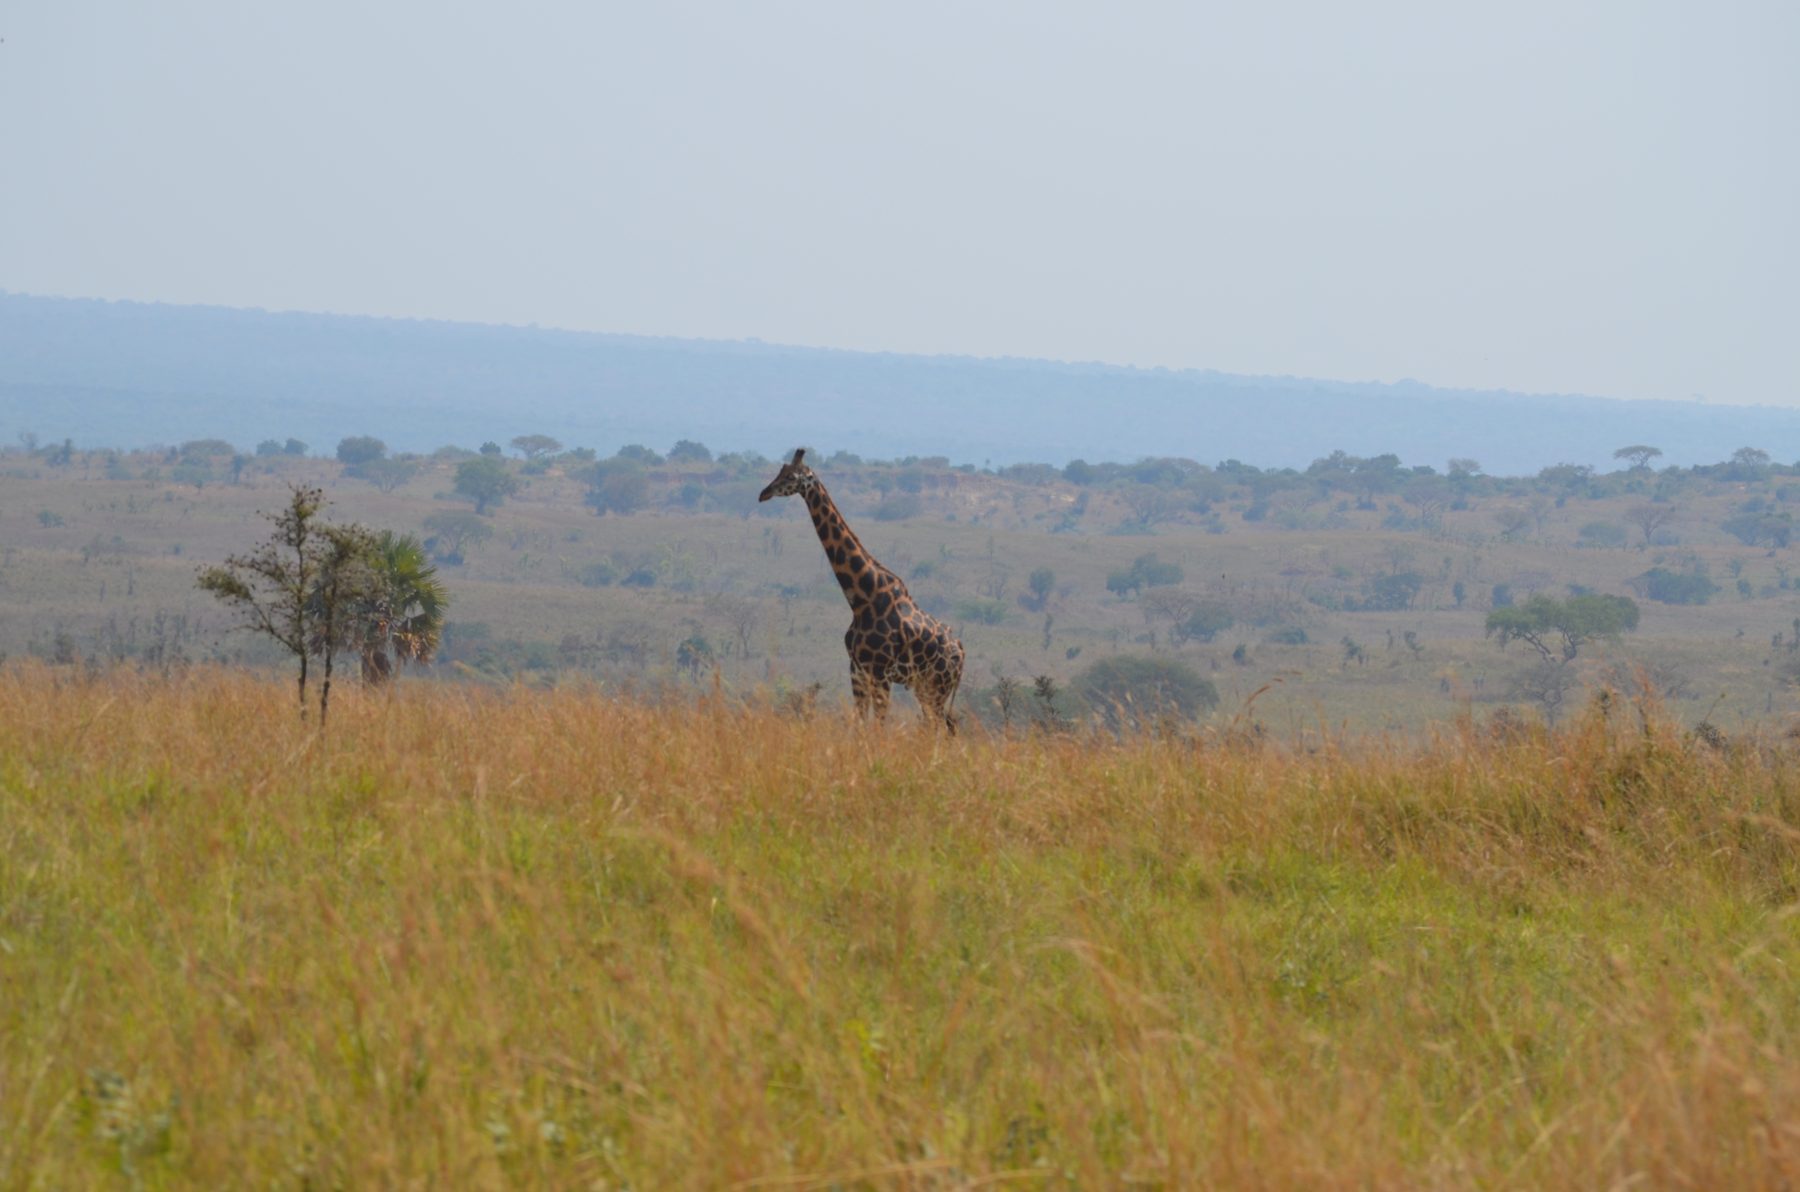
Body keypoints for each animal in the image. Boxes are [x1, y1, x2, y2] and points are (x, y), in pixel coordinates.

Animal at [759, 449, 965, 731]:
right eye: (780, 470)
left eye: (791, 476)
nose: (764, 493)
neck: (861, 598)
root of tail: (962, 653)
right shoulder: (857, 670)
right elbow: (858, 725)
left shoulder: (880, 672)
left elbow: (877, 727)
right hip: (926, 687)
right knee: (941, 726)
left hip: (937, 686)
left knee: (939, 728)